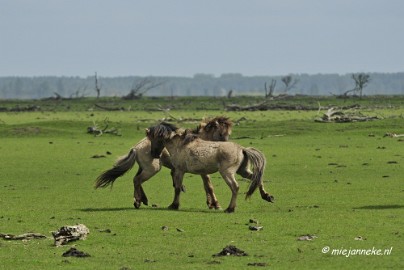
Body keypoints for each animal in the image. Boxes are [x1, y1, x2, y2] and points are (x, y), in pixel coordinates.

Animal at [94, 116, 232, 209]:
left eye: (228, 133)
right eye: (221, 133)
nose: (227, 147)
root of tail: (136, 147)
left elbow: (206, 186)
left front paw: (210, 204)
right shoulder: (203, 171)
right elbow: (209, 186)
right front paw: (216, 204)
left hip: (144, 168)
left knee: (136, 180)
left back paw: (142, 199)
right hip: (152, 169)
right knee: (137, 180)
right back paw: (138, 201)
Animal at [146, 122, 274, 213]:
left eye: (153, 139)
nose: (154, 154)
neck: (180, 144)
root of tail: (242, 149)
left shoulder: (179, 171)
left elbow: (177, 188)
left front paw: (174, 205)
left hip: (227, 173)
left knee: (235, 187)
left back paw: (230, 208)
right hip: (243, 171)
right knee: (257, 178)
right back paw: (267, 196)